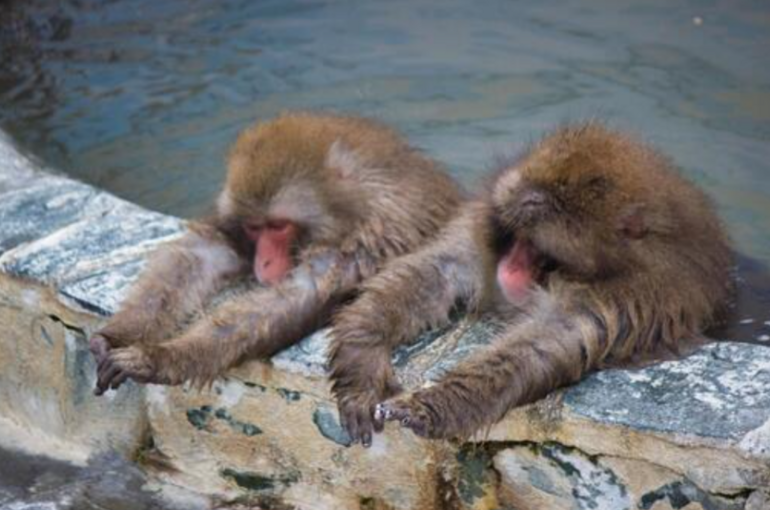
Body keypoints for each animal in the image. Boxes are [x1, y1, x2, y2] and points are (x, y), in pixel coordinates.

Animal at [90, 112, 462, 395]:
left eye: (279, 226)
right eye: (255, 227)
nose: (263, 262)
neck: (354, 206)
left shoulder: (367, 244)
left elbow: (290, 302)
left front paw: (159, 358)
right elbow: (200, 254)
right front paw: (118, 333)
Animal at [328, 122, 732, 444]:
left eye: (556, 202)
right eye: (519, 238)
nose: (530, 199)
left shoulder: (629, 298)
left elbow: (539, 345)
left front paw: (430, 407)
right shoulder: (480, 230)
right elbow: (434, 271)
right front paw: (361, 364)